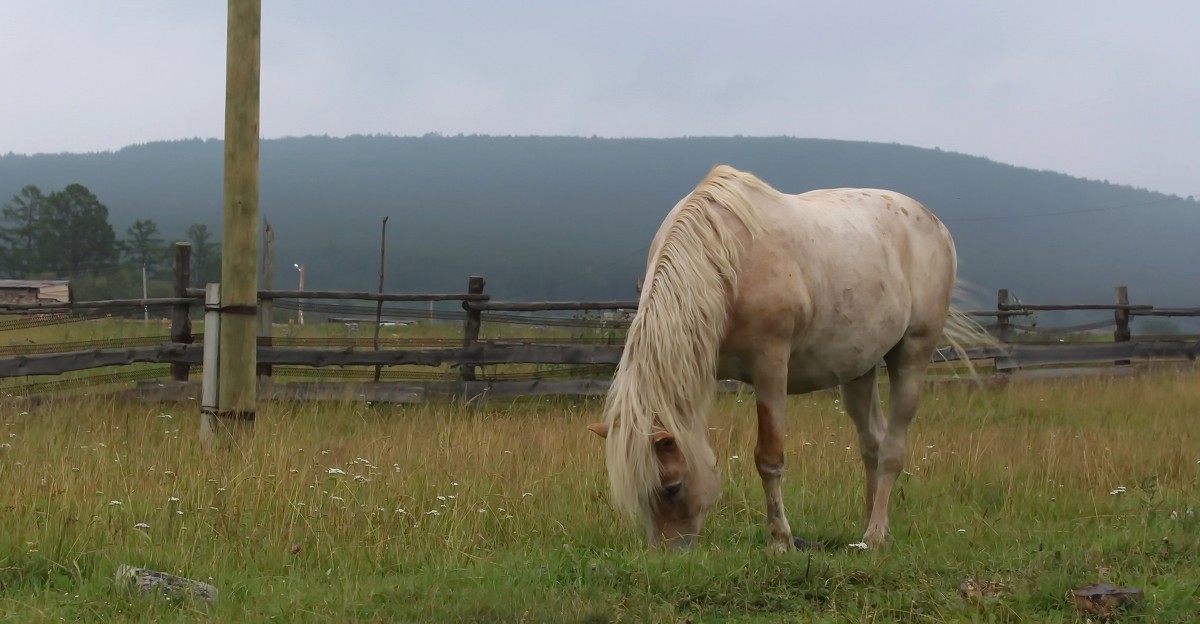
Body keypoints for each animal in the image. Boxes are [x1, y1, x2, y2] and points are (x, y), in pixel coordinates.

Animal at [585, 164, 988, 552]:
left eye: (672, 487)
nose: (669, 555)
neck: (724, 260)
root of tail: (936, 225)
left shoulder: (771, 368)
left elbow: (769, 458)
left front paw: (779, 541)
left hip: (912, 356)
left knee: (890, 450)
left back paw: (873, 536)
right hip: (859, 370)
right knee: (871, 444)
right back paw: (871, 532)